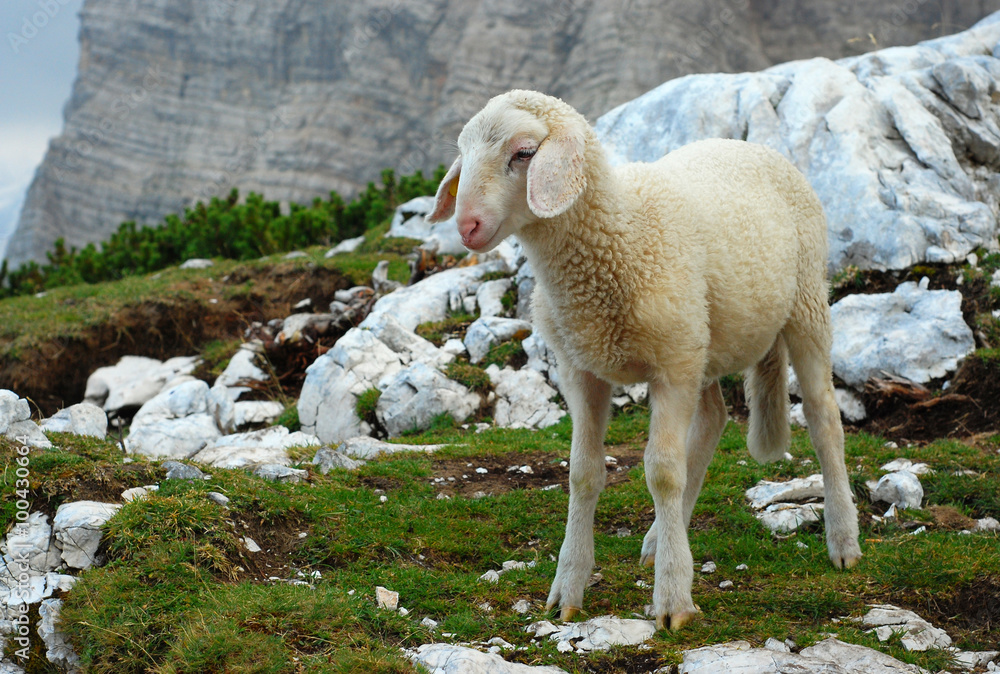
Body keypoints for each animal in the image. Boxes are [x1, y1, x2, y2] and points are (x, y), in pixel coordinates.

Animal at [426, 89, 861, 631]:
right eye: (463, 153)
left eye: (524, 153)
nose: (466, 227)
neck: (619, 231)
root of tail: (750, 146)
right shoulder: (582, 368)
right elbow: (583, 473)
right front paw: (568, 588)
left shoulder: (670, 368)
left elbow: (663, 474)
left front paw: (673, 599)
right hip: (702, 338)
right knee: (714, 419)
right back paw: (660, 537)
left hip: (803, 305)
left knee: (824, 419)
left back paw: (843, 541)